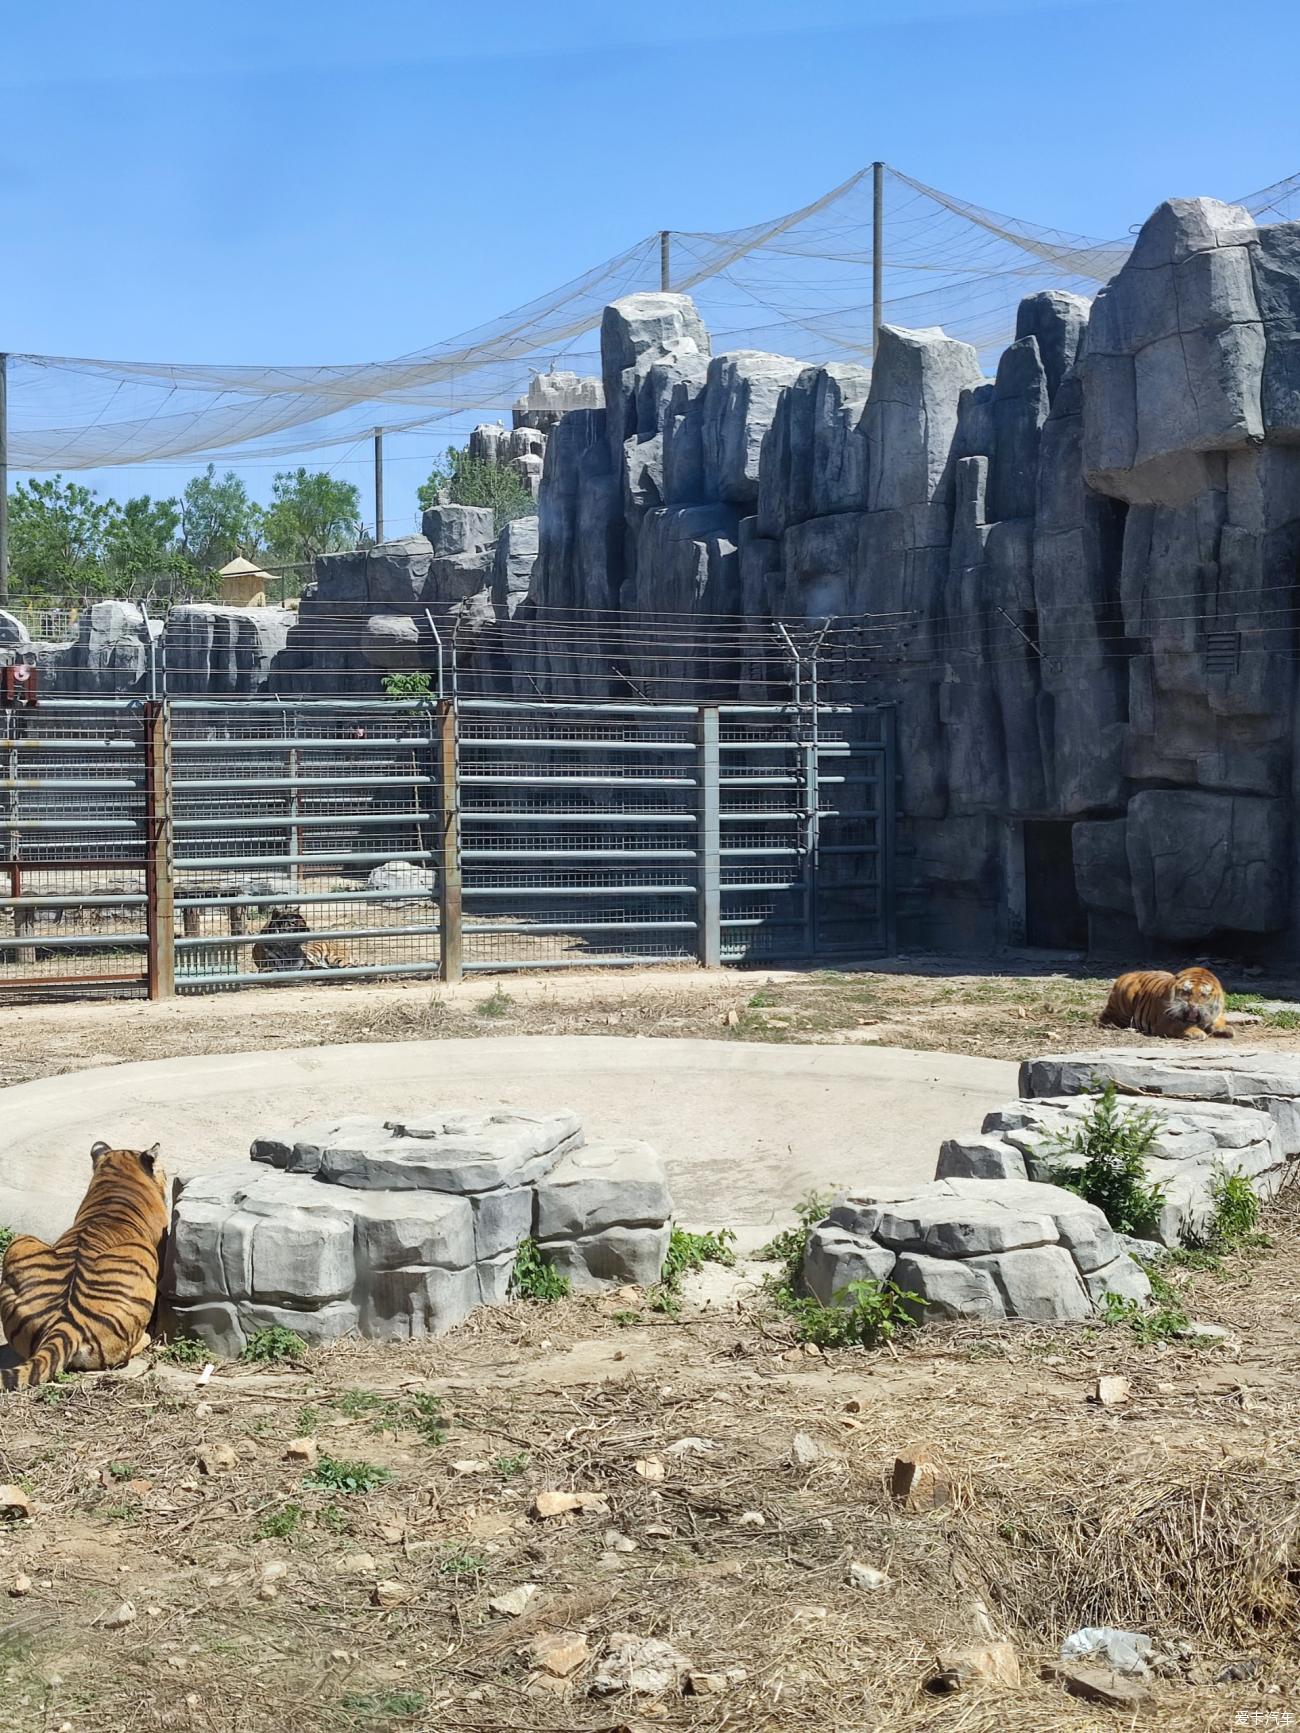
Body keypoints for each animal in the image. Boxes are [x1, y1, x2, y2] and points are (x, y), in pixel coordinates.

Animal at [1102, 970, 1234, 1032]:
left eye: (1203, 995)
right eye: (1187, 992)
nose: (1192, 1005)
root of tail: (1125, 974)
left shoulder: (1217, 1014)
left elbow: (1219, 1022)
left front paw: (1226, 1030)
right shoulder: (1164, 1021)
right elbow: (1181, 1026)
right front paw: (1197, 1033)